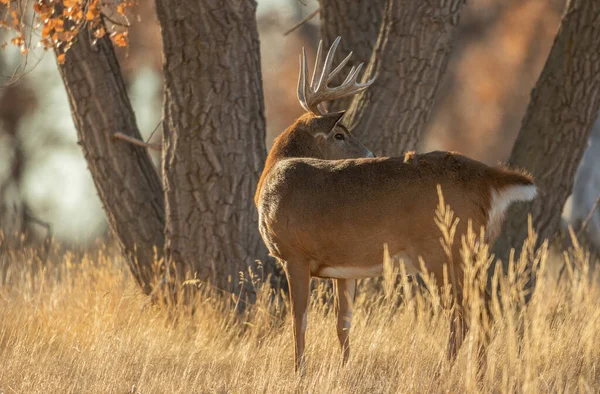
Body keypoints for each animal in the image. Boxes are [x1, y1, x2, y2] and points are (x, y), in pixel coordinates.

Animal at [254, 37, 540, 372]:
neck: (272, 178)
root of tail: (488, 178)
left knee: (465, 314)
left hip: (443, 249)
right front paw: (344, 368)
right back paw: (476, 373)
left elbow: (299, 322)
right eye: (339, 134)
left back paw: (445, 371)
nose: (371, 152)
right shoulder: (343, 269)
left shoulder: (293, 253)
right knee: (486, 311)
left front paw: (299, 371)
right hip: (472, 251)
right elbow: (343, 323)